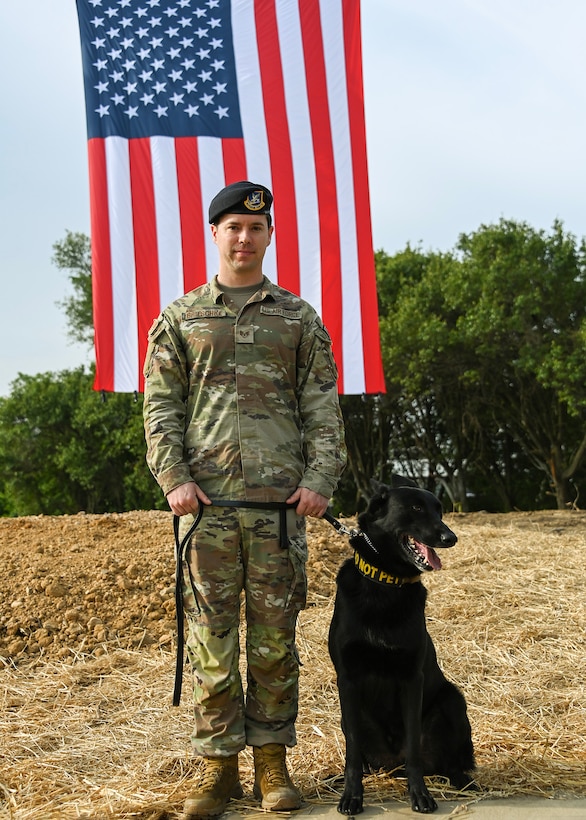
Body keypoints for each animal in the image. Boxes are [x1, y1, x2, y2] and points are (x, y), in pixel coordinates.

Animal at [326, 480, 472, 812]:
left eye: (439, 510)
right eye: (416, 507)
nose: (450, 537)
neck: (386, 583)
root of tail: (392, 764)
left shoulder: (411, 678)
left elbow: (414, 748)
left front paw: (420, 794)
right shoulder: (348, 680)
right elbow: (352, 753)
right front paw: (352, 795)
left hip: (453, 699)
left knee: (451, 761)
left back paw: (463, 781)